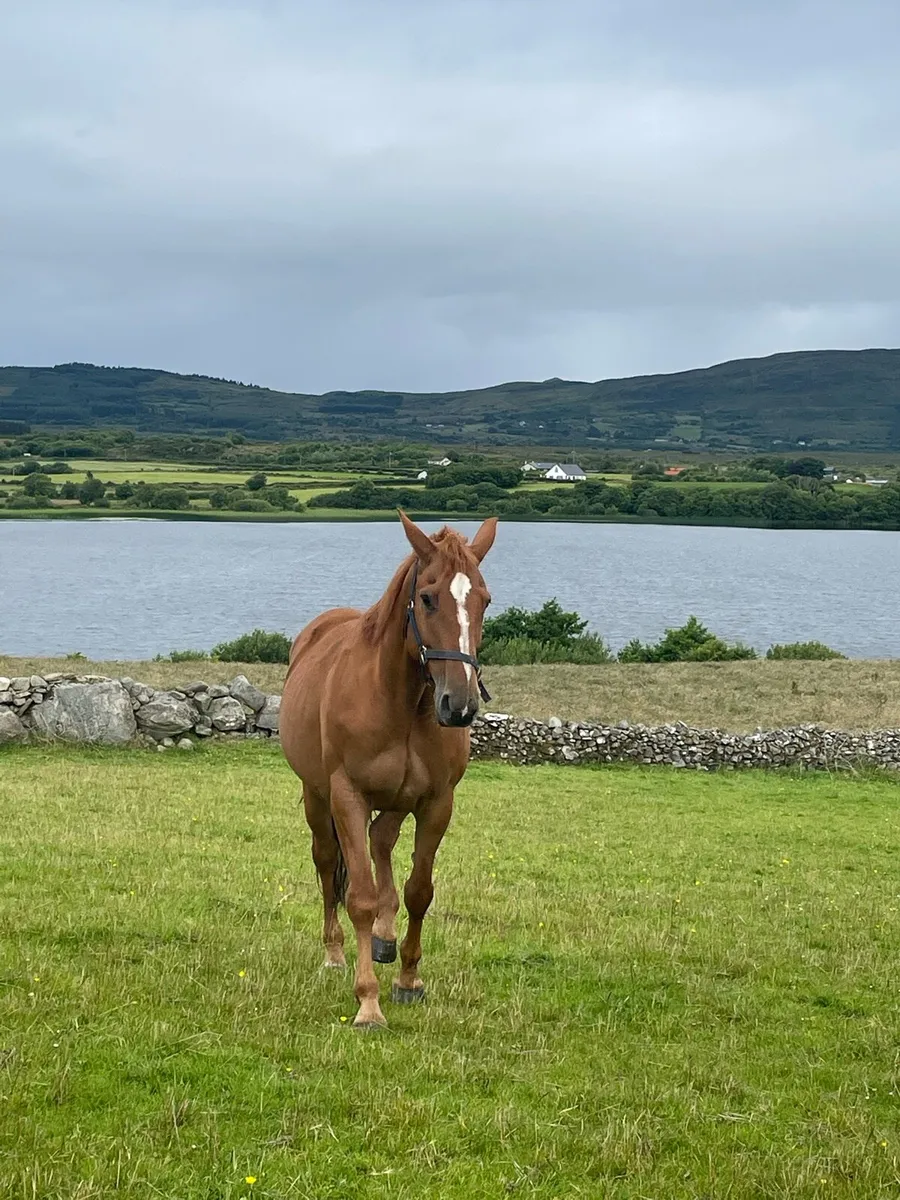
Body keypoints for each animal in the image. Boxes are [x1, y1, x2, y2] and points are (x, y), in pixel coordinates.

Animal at [280, 510, 498, 1028]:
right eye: (428, 597)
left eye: (484, 600)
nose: (459, 705)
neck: (399, 700)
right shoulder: (348, 797)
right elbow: (356, 894)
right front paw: (368, 1001)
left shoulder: (436, 803)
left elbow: (419, 891)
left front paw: (408, 979)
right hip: (317, 797)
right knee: (327, 864)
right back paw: (336, 951)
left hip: (398, 801)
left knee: (381, 842)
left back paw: (384, 935)